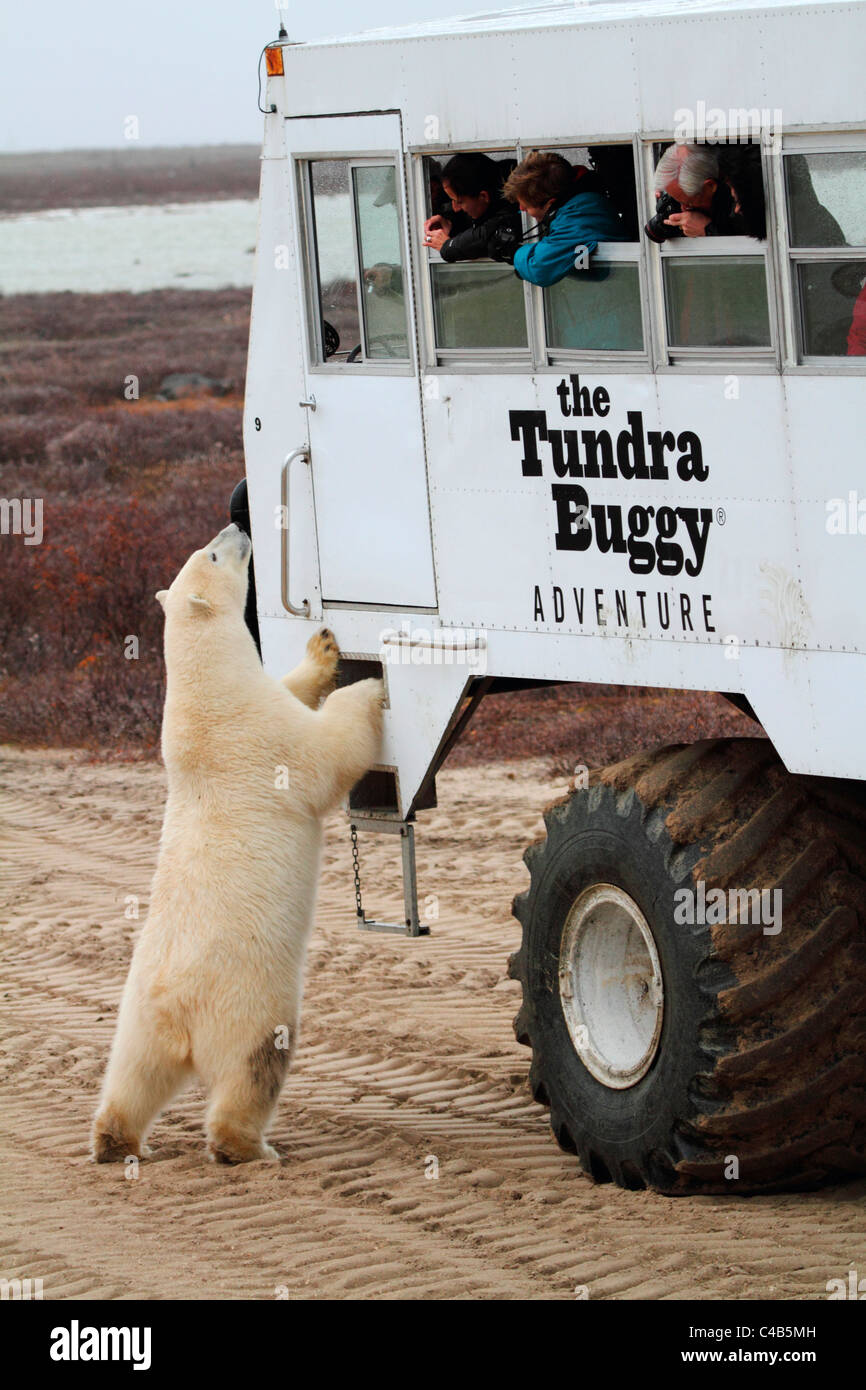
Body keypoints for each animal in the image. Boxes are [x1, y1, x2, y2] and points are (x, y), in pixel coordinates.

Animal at [90, 522, 383, 1162]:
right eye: (215, 554)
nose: (238, 525)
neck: (204, 691)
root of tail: (179, 1013)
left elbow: (292, 690)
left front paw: (322, 649)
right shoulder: (257, 734)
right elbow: (324, 755)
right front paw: (369, 686)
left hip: (136, 1017)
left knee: (132, 1073)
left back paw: (112, 1138)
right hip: (248, 1005)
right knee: (256, 1067)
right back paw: (248, 1147)